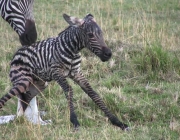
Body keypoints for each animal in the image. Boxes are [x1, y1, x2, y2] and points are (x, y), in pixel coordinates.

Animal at [0, 13, 129, 130]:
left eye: (101, 33)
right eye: (90, 35)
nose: (108, 54)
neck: (73, 51)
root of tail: (17, 53)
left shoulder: (77, 73)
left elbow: (93, 94)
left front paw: (118, 122)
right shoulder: (56, 72)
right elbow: (69, 90)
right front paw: (75, 122)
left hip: (39, 84)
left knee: (24, 103)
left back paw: (27, 122)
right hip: (22, 81)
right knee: (6, 98)